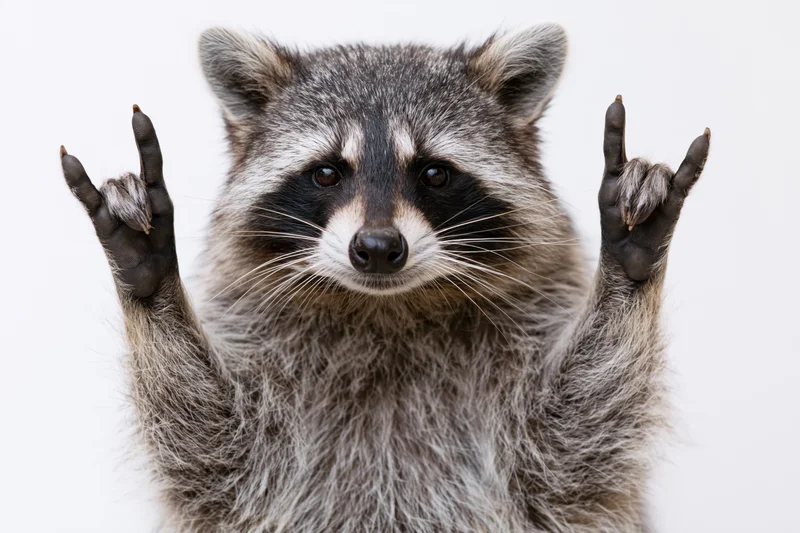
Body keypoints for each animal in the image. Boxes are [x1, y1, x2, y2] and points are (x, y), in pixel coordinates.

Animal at [60, 24, 710, 533]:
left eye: (434, 173)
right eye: (327, 172)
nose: (376, 249)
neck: (386, 308)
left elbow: (576, 446)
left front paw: (628, 267)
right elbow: (213, 451)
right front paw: (150, 278)